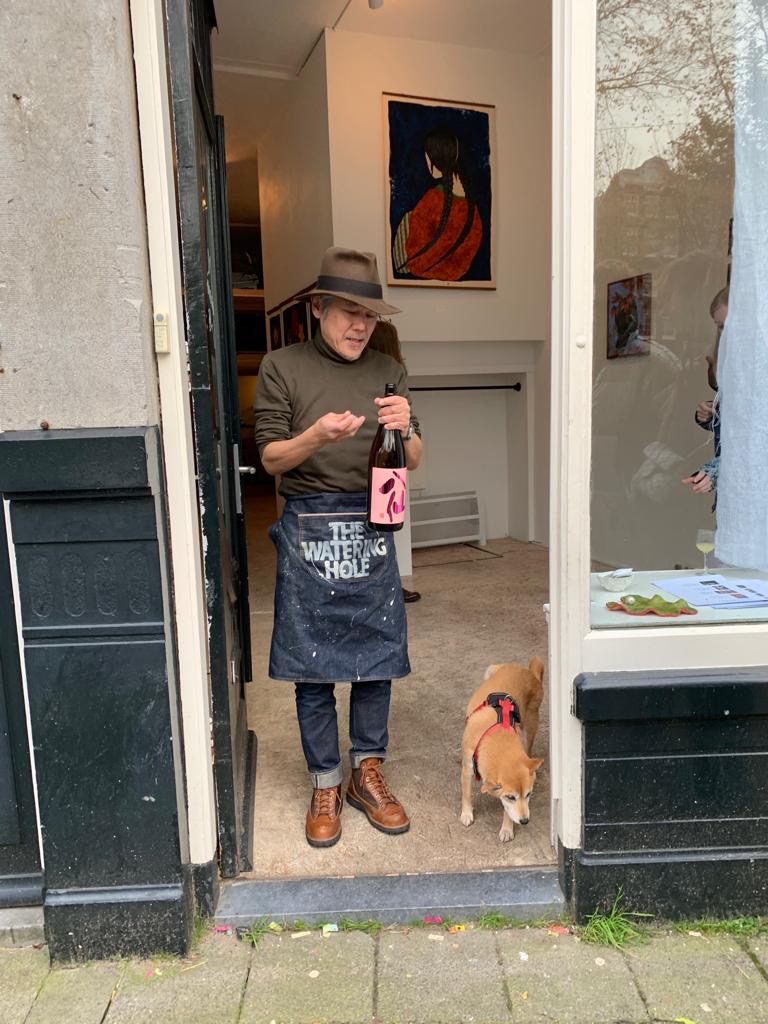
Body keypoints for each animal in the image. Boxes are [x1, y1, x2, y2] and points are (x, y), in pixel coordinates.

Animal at [460, 659, 545, 842]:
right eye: (511, 797)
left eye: (529, 794)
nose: (525, 821)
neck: (496, 736)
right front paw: (467, 813)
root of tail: (528, 671)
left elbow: (508, 812)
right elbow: (466, 793)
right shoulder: (467, 768)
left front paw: (507, 829)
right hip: (490, 670)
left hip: (530, 726)